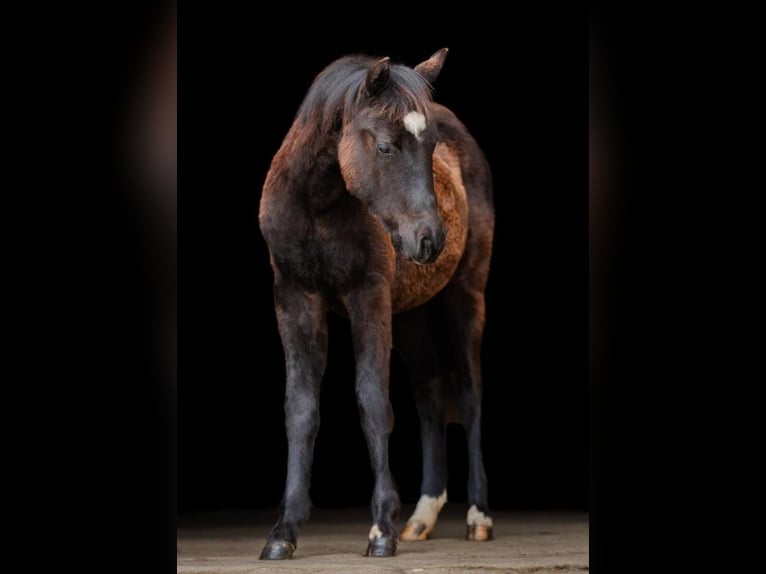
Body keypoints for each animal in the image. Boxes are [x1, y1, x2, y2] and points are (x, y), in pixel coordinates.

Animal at [260, 49, 498, 564]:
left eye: (432, 147)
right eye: (386, 147)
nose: (430, 241)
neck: (317, 207)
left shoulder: (368, 296)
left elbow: (372, 402)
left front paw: (381, 530)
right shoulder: (295, 298)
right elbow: (300, 409)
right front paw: (283, 532)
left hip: (464, 296)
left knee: (470, 396)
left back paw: (478, 518)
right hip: (411, 315)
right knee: (430, 396)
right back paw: (422, 517)